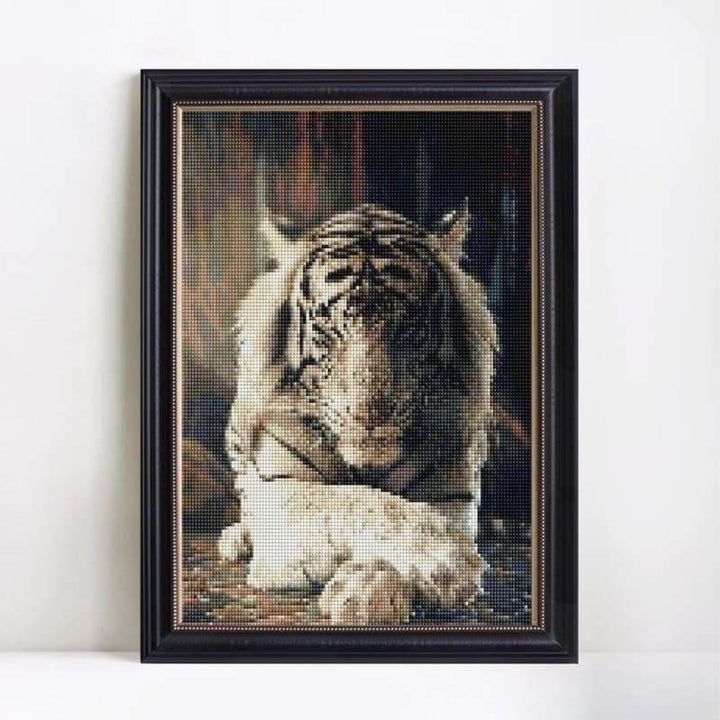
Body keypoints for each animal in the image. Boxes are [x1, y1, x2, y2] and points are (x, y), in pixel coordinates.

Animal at [218, 203, 497, 625]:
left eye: (407, 328)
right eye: (329, 329)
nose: (371, 414)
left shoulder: (452, 496)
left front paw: (367, 589)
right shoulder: (282, 494)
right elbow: (355, 501)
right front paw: (448, 560)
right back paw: (236, 538)